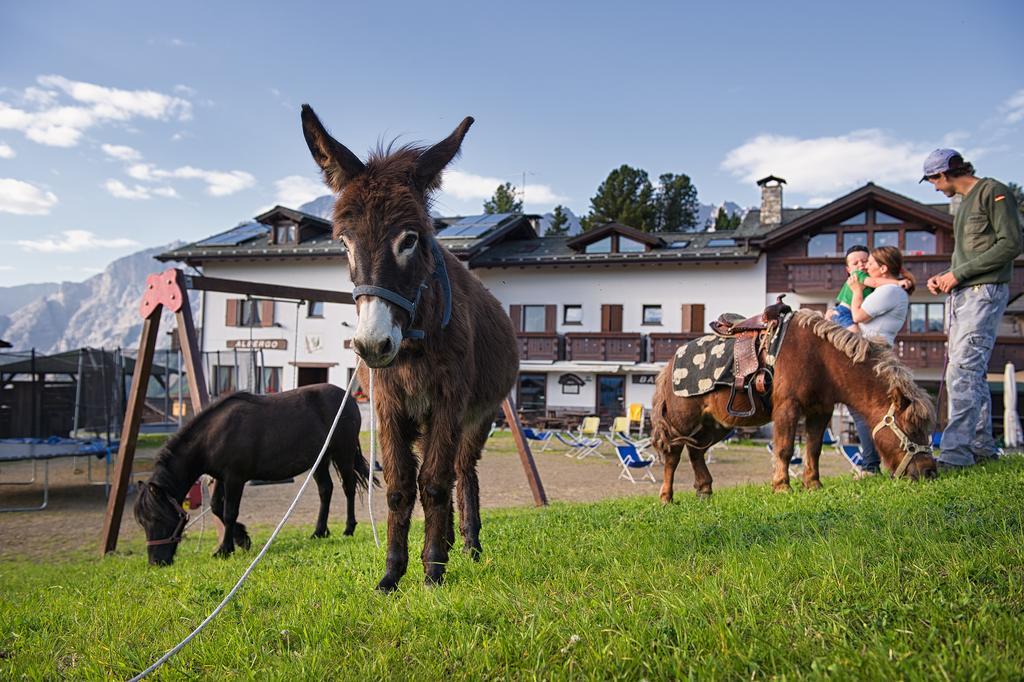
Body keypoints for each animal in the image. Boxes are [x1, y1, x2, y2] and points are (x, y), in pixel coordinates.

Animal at [134, 382, 368, 561]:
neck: (213, 435)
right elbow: (216, 507)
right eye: (142, 522)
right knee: (325, 490)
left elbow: (229, 512)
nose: (156, 561)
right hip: (320, 460)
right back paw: (319, 531)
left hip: (343, 454)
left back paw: (348, 529)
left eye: (157, 519)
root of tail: (348, 399)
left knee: (348, 488)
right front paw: (242, 539)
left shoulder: (235, 479)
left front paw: (225, 549)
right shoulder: (221, 478)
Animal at [299, 106, 516, 589]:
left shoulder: (449, 401)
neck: (415, 343)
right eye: (344, 241)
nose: (373, 344)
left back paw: (469, 545)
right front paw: (392, 574)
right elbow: (400, 487)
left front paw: (433, 569)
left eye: (411, 238)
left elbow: (433, 483)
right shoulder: (388, 403)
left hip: (479, 417)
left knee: (461, 473)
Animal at [655, 309, 937, 499]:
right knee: (673, 455)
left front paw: (813, 484)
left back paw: (705, 490)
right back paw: (667, 497)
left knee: (696, 451)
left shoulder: (820, 412)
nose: (929, 472)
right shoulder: (787, 408)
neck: (820, 358)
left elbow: (813, 449)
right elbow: (784, 449)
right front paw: (782, 486)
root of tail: (669, 365)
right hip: (683, 422)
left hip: (717, 425)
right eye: (911, 427)